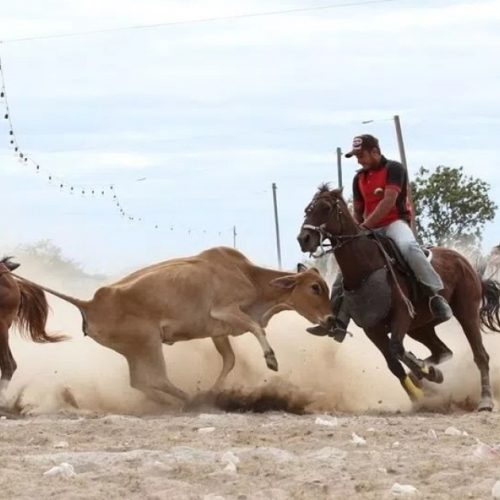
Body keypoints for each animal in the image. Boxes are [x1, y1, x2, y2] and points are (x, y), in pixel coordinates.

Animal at [11, 248, 334, 404]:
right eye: (315, 287)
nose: (331, 319)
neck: (248, 275)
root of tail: (91, 302)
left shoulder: (219, 332)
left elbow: (229, 361)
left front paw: (215, 391)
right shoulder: (227, 311)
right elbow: (258, 329)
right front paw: (271, 359)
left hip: (135, 351)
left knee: (141, 382)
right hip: (148, 343)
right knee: (156, 379)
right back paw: (189, 400)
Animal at [296, 186, 500, 412]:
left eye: (326, 208)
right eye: (308, 210)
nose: (304, 238)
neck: (366, 267)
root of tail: (466, 264)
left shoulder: (401, 315)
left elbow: (397, 350)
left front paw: (424, 373)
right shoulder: (372, 329)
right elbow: (394, 364)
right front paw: (420, 391)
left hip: (466, 311)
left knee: (480, 355)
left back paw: (485, 400)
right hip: (420, 327)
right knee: (443, 351)